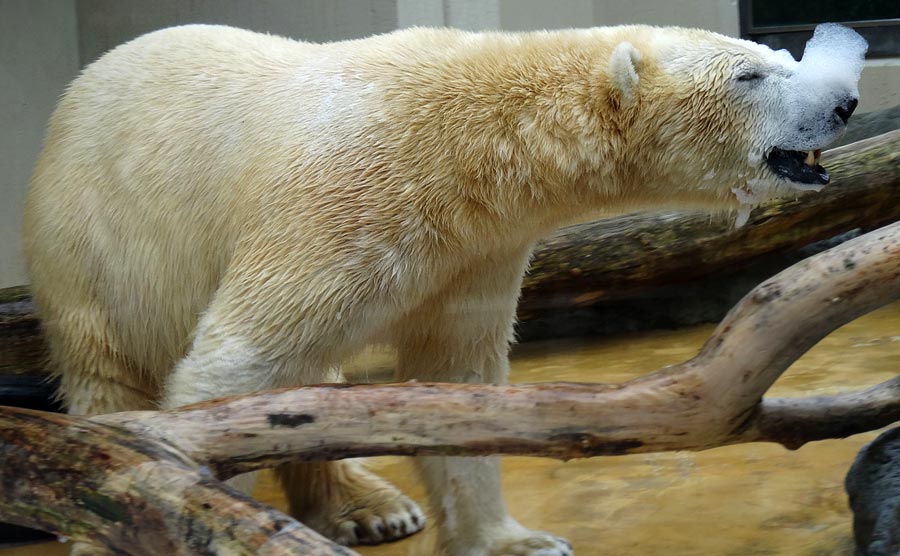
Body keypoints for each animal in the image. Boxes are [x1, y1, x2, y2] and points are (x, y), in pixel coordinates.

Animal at [22, 22, 864, 556]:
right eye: (750, 74)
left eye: (772, 55)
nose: (846, 101)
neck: (467, 149)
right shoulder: (340, 200)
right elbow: (237, 363)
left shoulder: (476, 250)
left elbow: (455, 377)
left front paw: (517, 543)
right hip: (88, 247)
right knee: (108, 370)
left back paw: (372, 508)